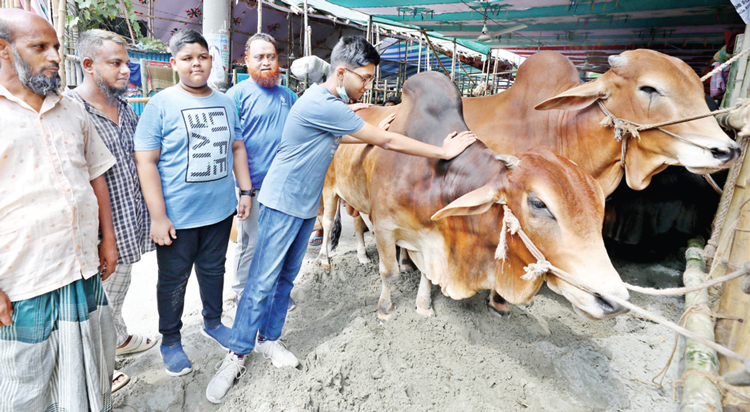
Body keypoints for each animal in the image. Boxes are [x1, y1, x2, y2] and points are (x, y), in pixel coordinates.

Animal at [326, 72, 632, 320]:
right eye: (538, 204)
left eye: (600, 208)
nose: (613, 301)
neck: (434, 174)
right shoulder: (386, 227)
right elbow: (389, 272)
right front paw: (385, 310)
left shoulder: (427, 236)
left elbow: (426, 274)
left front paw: (424, 306)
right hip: (330, 189)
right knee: (330, 223)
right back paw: (327, 260)